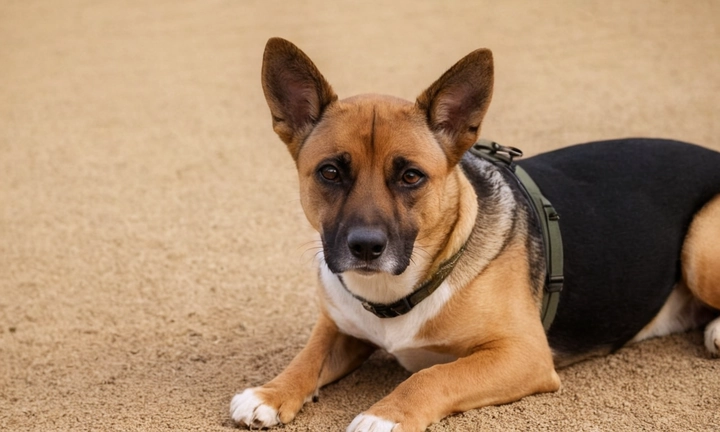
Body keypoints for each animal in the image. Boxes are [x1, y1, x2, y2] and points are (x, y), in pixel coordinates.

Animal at [229, 38, 720, 432]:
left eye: (411, 176)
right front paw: (270, 392)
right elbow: (306, 358)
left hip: (700, 249)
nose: (365, 247)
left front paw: (385, 415)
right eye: (330, 172)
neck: (399, 291)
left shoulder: (522, 355)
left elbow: (433, 375)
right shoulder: (338, 327)